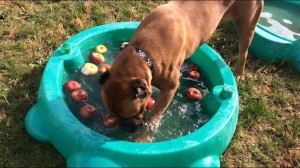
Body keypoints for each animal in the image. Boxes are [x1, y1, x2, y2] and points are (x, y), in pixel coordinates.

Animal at [100, 0, 262, 142]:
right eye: (112, 116)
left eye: (133, 114)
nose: (125, 129)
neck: (144, 53)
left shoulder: (169, 90)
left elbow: (154, 118)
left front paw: (144, 138)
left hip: (247, 27)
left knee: (244, 52)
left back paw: (239, 73)